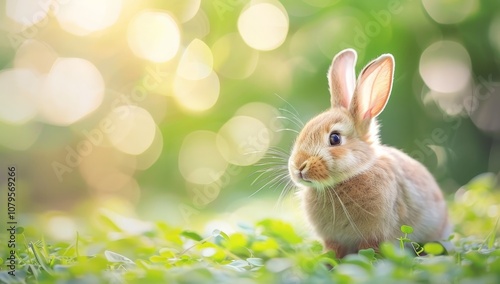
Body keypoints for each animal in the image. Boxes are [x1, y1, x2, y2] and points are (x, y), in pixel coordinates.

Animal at [288, 48, 452, 258]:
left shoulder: (375, 235)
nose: (298, 167)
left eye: (335, 138)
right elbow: (333, 251)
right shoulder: (333, 239)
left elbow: (369, 251)